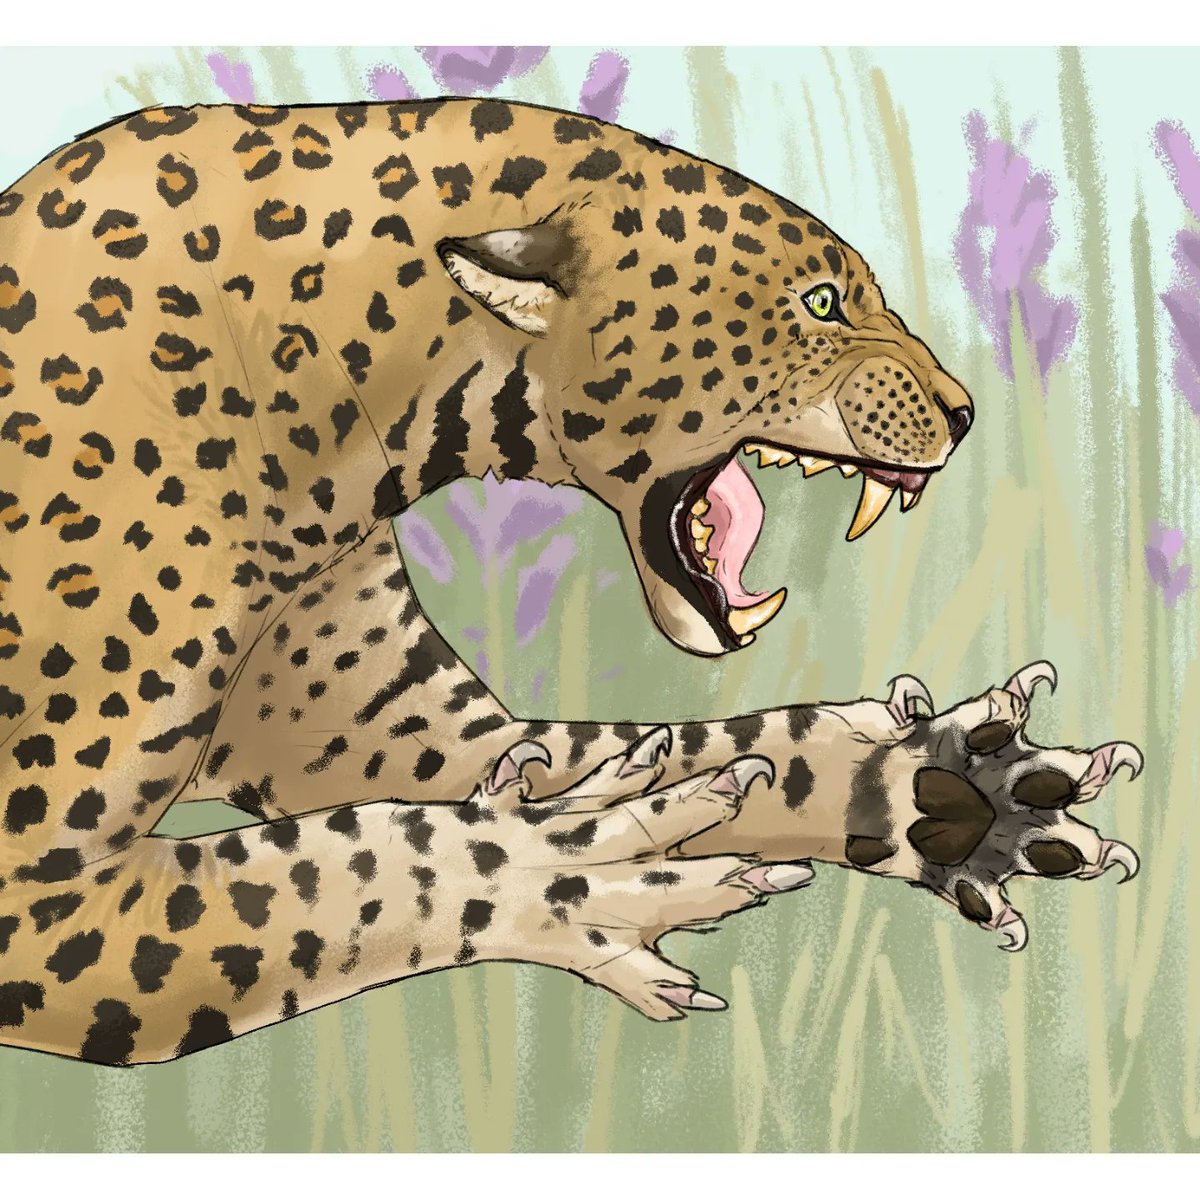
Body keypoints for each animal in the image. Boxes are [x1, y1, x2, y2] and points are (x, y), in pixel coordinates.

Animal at [0, 98, 1143, 1065]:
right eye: (820, 301)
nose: (963, 412)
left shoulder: (400, 731)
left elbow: (705, 750)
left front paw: (954, 788)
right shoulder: (30, 884)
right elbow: (355, 865)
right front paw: (574, 870)